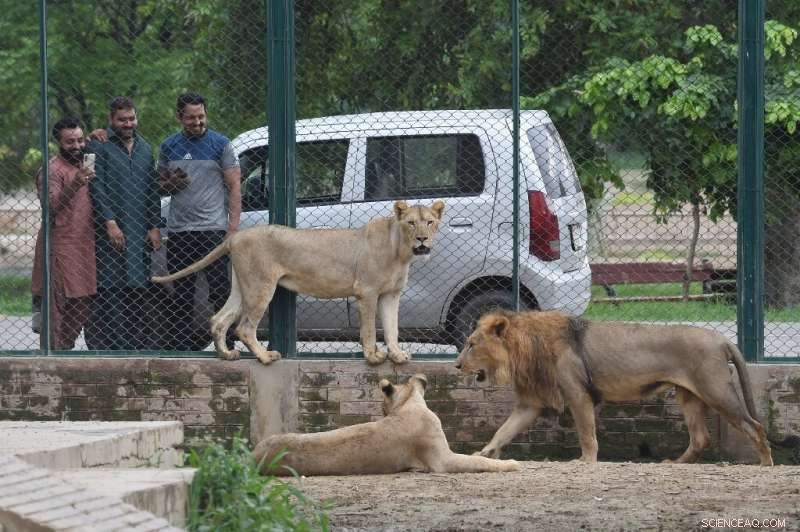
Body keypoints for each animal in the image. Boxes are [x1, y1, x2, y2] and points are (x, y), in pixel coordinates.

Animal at [152, 200, 444, 365]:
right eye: (411, 223)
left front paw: (397, 355)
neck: (401, 251)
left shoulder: (391, 294)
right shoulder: (367, 291)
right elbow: (371, 329)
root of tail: (236, 236)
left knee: (219, 319)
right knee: (244, 327)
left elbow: (392, 327)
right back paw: (265, 357)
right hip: (261, 286)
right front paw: (373, 357)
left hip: (242, 287)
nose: (422, 240)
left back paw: (226, 355)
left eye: (430, 222)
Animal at [253, 373, 521, 476]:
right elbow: (480, 462)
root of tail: (252, 456)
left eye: (382, 405)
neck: (408, 404)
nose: (380, 411)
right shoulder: (442, 460)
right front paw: (511, 463)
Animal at [455, 309, 774, 466]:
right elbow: (502, 431)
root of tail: (723, 339)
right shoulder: (530, 404)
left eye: (472, 344)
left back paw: (765, 464)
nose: (456, 366)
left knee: (755, 426)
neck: (524, 350)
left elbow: (587, 434)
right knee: (700, 438)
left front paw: (586, 461)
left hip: (715, 390)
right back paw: (675, 463)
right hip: (691, 396)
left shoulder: (578, 394)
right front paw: (483, 454)